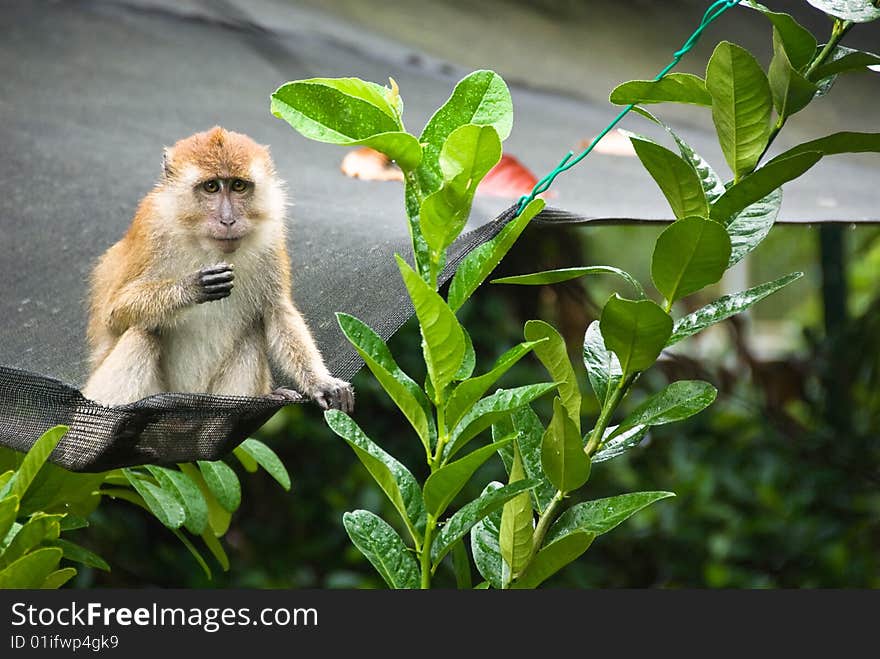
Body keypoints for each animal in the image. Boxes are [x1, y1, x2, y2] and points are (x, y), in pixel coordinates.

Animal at [81, 125, 354, 412]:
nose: (228, 220)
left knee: (252, 331)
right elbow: (115, 312)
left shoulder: (270, 236)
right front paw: (190, 287)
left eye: (238, 186)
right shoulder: (151, 227)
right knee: (142, 332)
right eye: (211, 186)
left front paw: (321, 382)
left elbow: (276, 311)